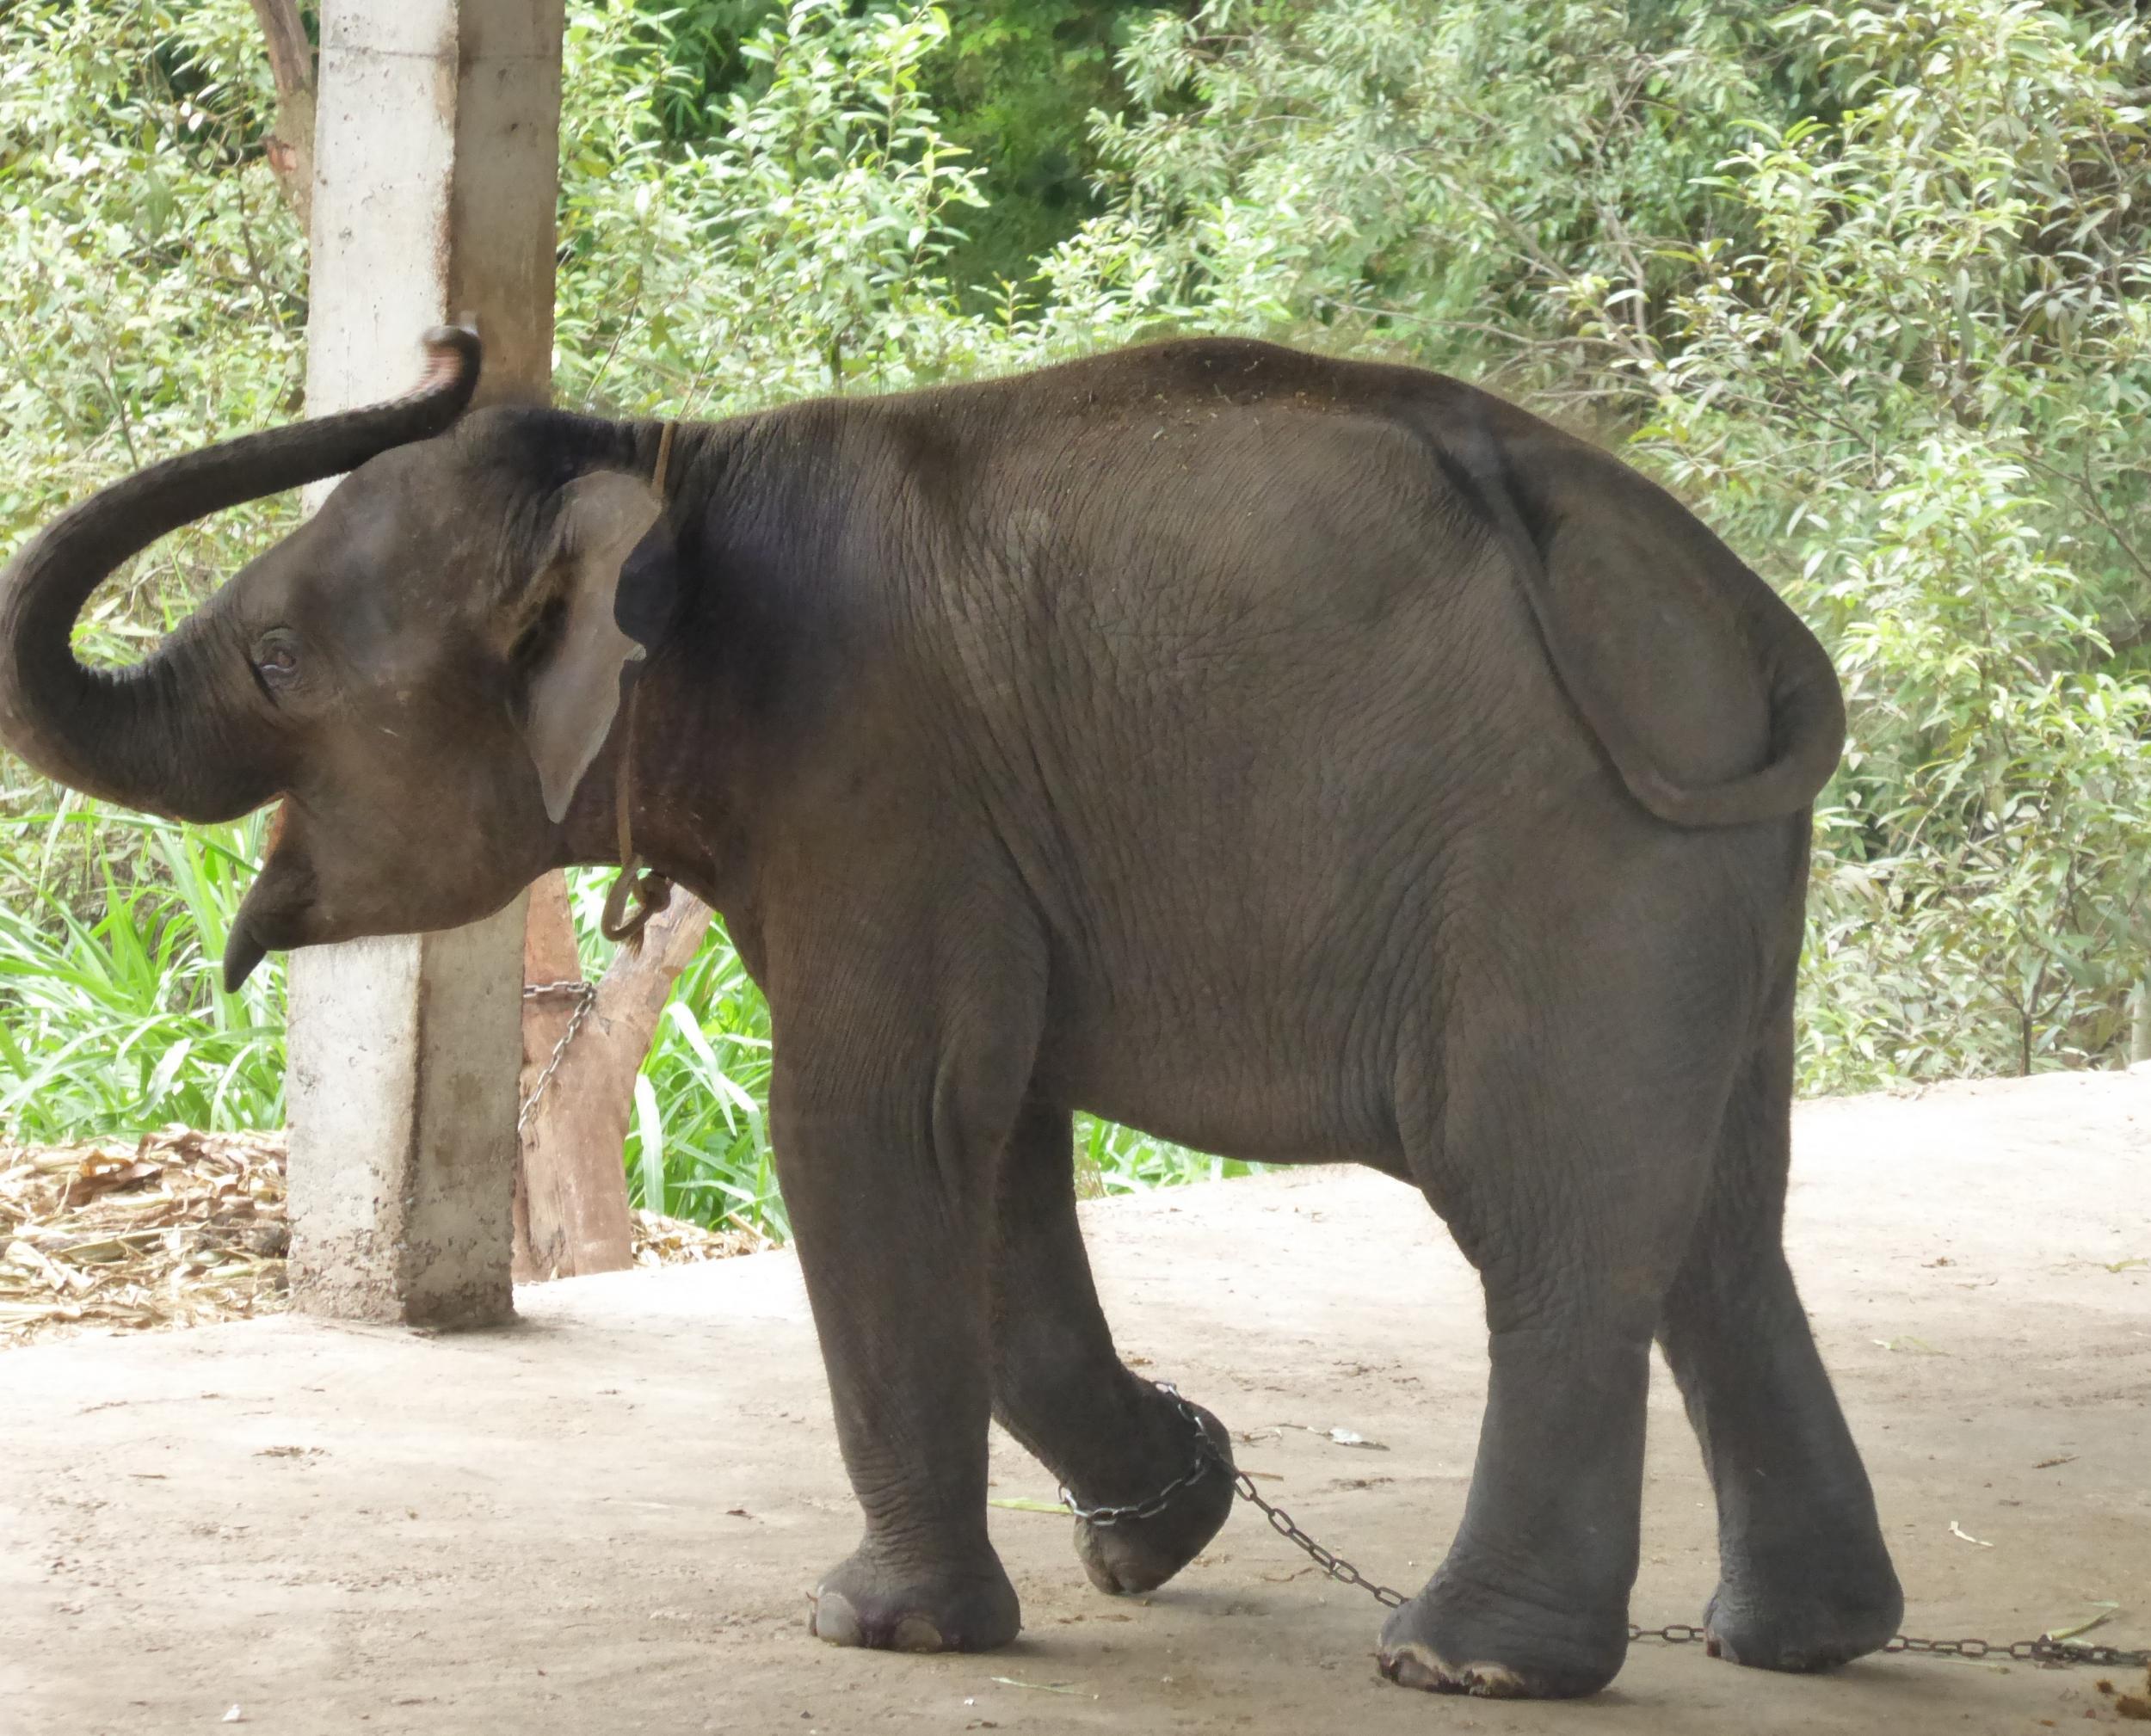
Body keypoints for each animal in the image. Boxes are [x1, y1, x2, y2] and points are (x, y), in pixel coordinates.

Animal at [8, 327, 1910, 1695]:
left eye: (277, 664)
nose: (455, 341)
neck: (672, 466)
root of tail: (1740, 618)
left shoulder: (875, 781)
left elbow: (873, 1121)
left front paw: (882, 1627)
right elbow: (995, 1148)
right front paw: (1162, 1527)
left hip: (1559, 859)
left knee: (1554, 1221)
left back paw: (1468, 1662)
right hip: (1704, 868)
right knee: (1721, 1227)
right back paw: (1799, 1640)